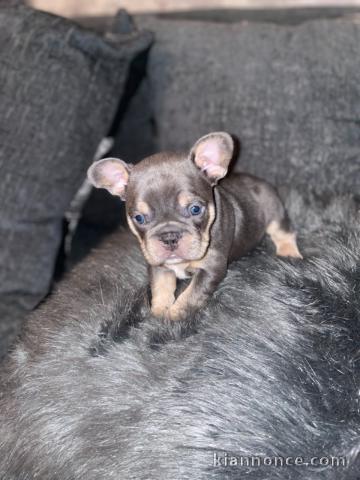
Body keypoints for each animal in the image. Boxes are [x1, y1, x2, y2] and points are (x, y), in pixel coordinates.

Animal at [88, 132, 300, 318]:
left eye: (195, 209)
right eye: (139, 218)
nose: (169, 237)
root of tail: (259, 182)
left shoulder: (211, 267)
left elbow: (192, 294)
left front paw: (174, 316)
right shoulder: (158, 265)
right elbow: (161, 287)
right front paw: (160, 311)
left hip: (274, 213)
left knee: (284, 233)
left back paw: (289, 253)